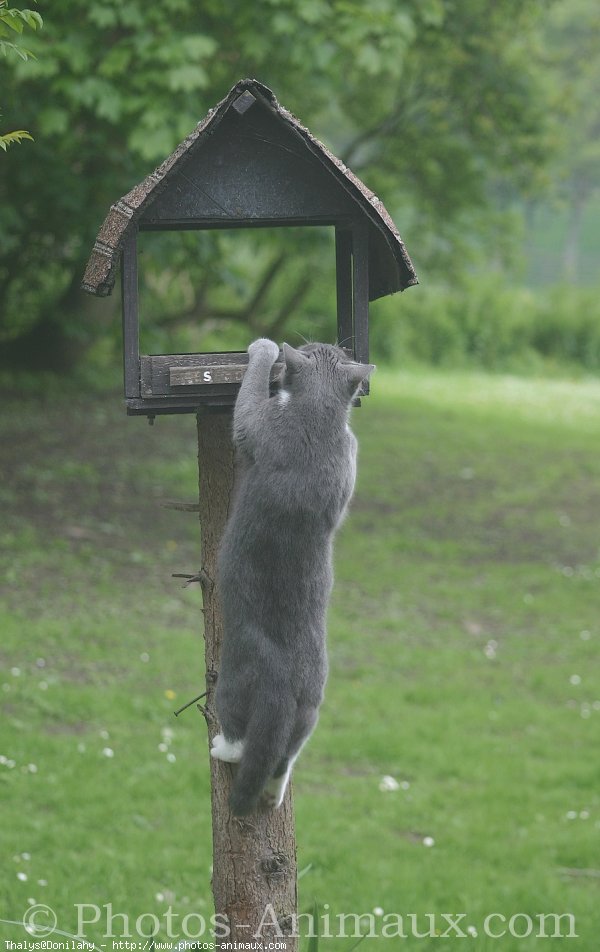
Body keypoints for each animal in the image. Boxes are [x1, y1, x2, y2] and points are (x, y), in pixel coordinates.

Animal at [209, 338, 372, 816]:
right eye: (328, 347)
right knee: (284, 756)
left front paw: (261, 349)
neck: (316, 417)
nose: (303, 342)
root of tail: (281, 691)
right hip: (309, 711)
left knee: (241, 740)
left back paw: (220, 747)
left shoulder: (258, 424)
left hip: (233, 684)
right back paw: (274, 792)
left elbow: (244, 410)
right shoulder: (351, 452)